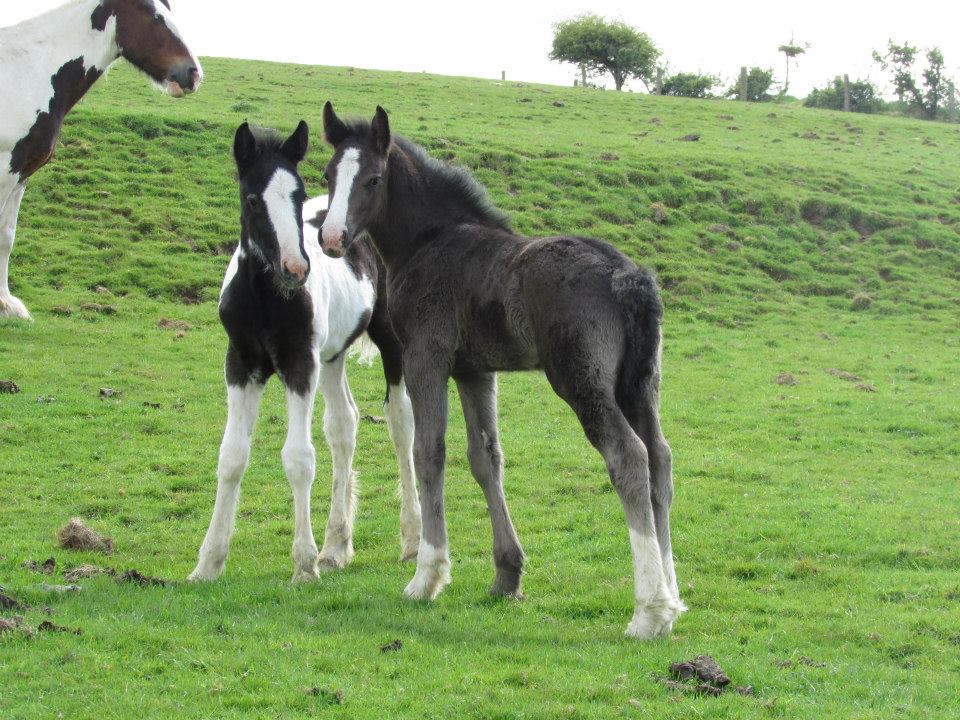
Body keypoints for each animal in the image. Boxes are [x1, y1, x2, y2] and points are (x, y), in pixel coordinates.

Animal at [0, 0, 200, 320]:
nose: (193, 74)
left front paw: (8, 305)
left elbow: (6, 236)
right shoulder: (5, 168)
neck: (30, 68)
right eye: (156, 17)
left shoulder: (21, 173)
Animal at [188, 122, 420, 584]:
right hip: (330, 356)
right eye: (252, 199)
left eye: (297, 195)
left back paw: (411, 540)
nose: (296, 269)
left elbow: (298, 458)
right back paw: (336, 547)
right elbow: (231, 456)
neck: (265, 297)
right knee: (344, 424)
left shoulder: (299, 364)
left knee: (401, 423)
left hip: (387, 344)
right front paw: (208, 562)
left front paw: (303, 564)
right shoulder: (240, 364)